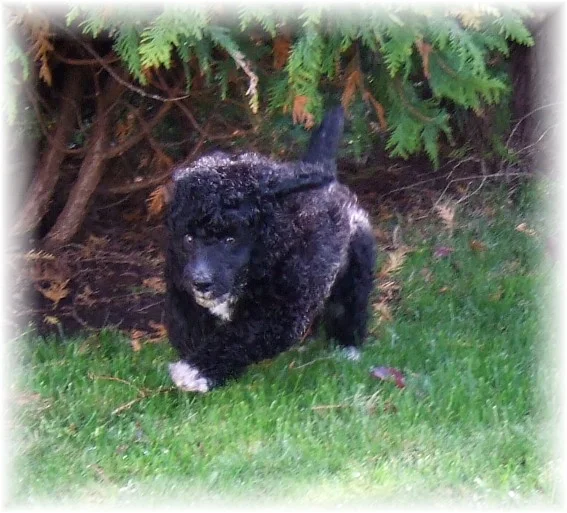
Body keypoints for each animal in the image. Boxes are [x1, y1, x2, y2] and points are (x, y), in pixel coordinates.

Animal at [165, 107, 376, 392]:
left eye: (230, 240)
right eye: (188, 239)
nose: (201, 282)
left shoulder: (279, 312)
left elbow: (241, 337)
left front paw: (197, 370)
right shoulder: (181, 287)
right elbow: (190, 328)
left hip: (356, 264)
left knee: (349, 305)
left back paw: (347, 349)